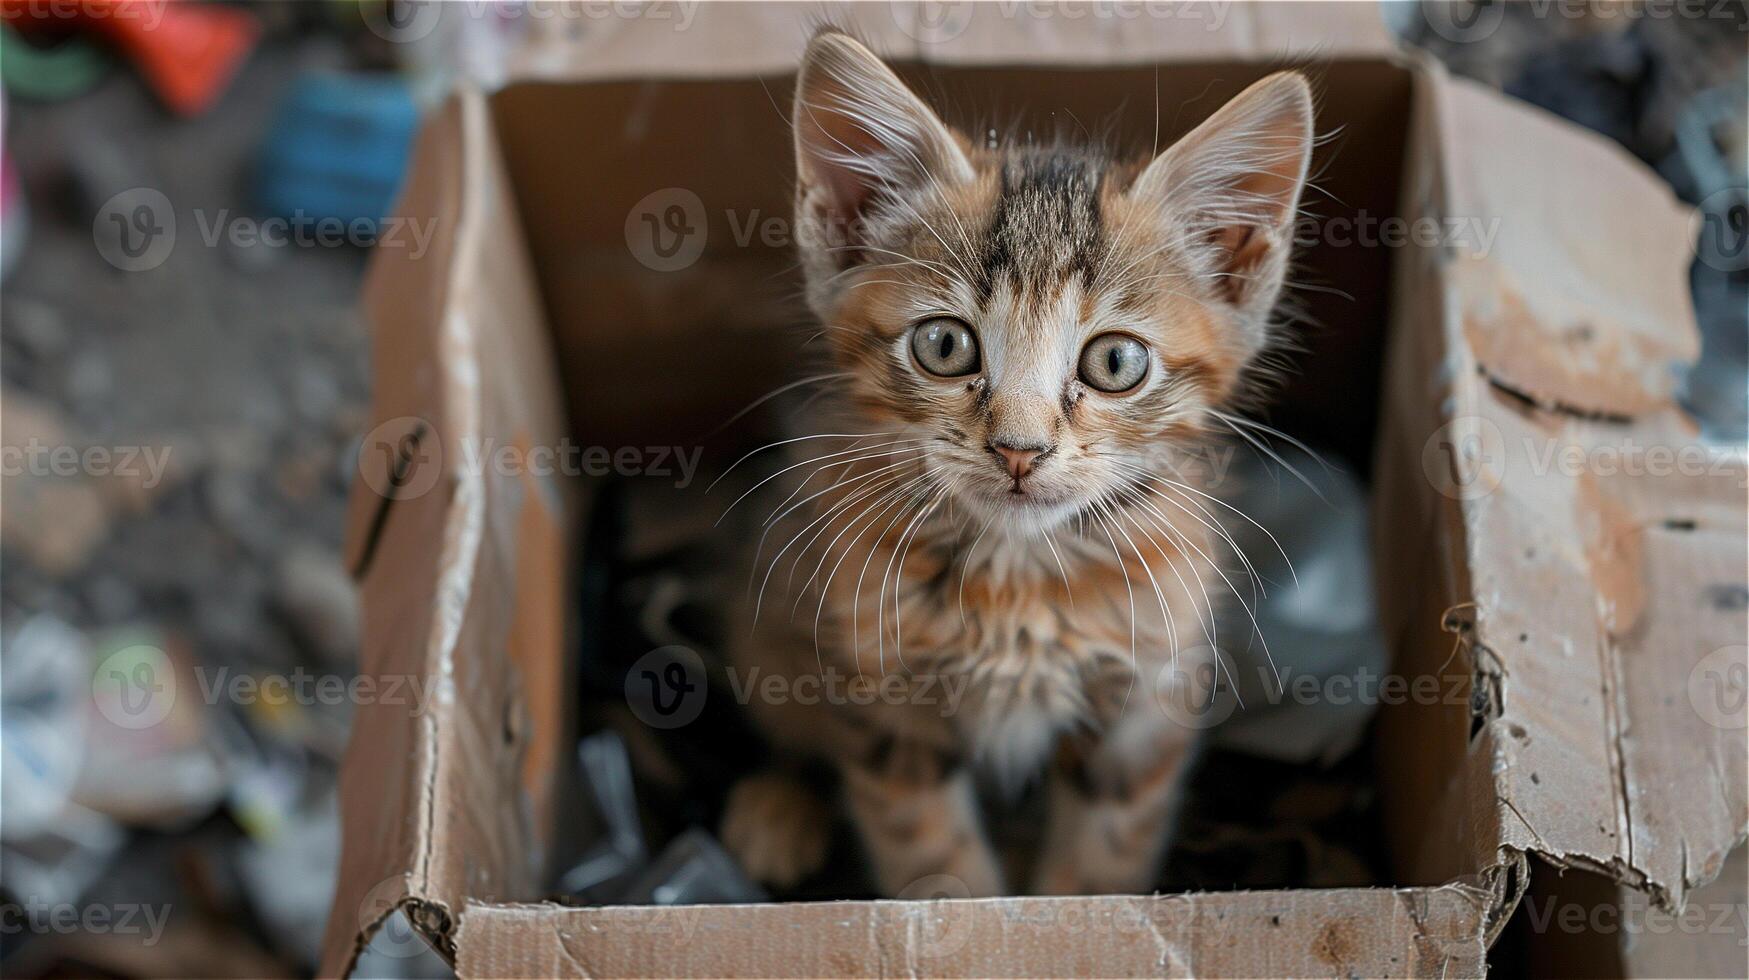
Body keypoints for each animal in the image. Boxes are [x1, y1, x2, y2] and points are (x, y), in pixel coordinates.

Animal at [717, 32, 1308, 896]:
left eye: (1115, 362)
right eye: (942, 345)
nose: (1018, 450)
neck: (1019, 578)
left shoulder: (1148, 699)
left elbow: (1100, 861)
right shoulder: (880, 697)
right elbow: (931, 856)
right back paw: (776, 808)